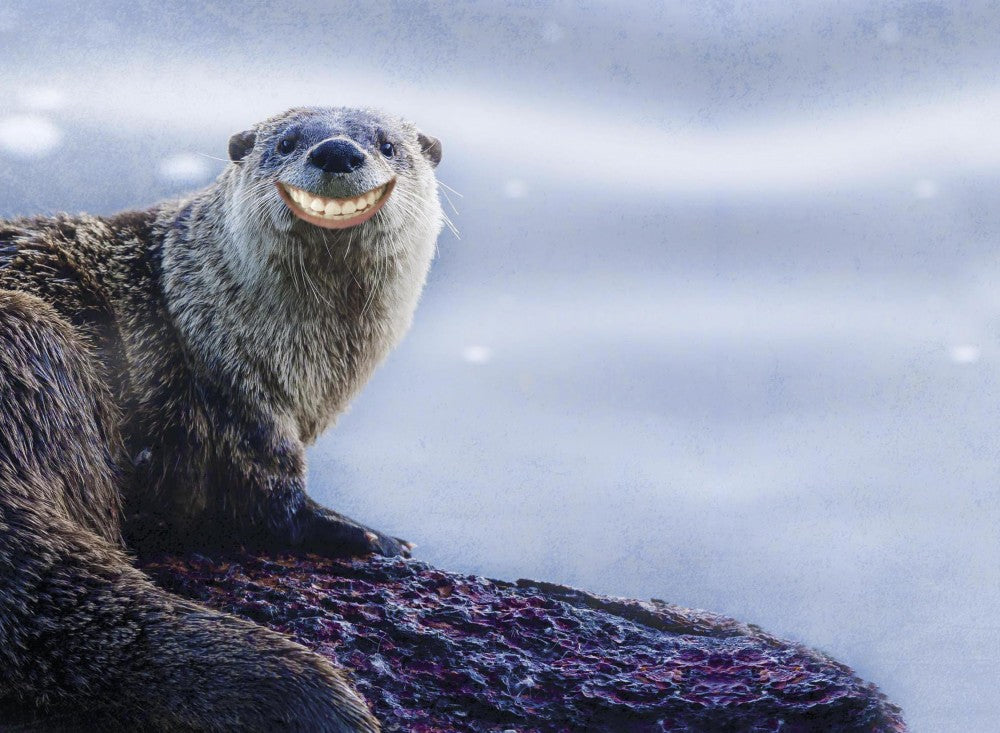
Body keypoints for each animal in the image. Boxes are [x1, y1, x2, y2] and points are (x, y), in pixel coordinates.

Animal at [0, 106, 446, 728]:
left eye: (386, 145)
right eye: (286, 143)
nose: (336, 151)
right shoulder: (234, 403)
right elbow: (263, 500)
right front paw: (368, 536)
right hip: (41, 345)